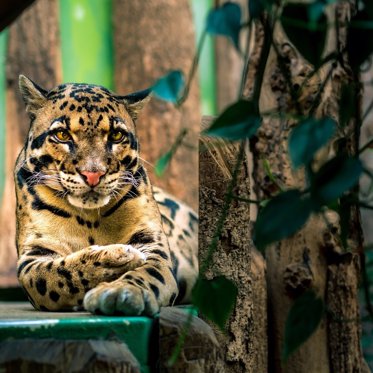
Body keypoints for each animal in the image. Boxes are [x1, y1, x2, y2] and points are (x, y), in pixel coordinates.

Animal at [14, 75, 198, 314]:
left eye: (116, 135)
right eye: (62, 135)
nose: (93, 174)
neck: (89, 218)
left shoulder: (151, 243)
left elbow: (147, 272)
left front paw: (122, 291)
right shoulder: (33, 255)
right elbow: (59, 273)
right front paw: (116, 257)